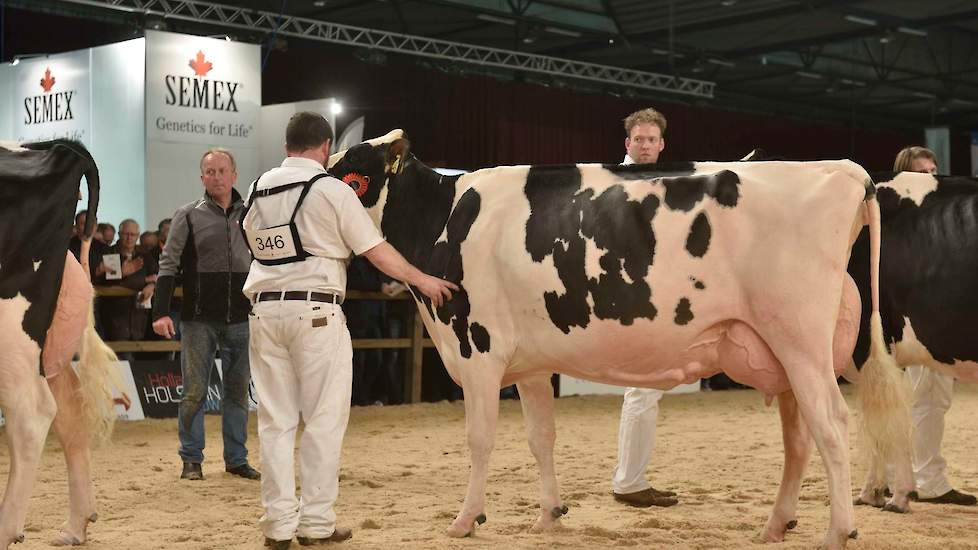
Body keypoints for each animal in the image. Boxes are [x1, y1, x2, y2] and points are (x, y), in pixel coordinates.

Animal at [326, 132, 900, 548]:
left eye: (351, 174)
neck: (446, 216)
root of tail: (840, 168)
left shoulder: (477, 350)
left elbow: (480, 439)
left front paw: (466, 519)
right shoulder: (530, 364)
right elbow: (541, 437)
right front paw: (549, 515)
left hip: (801, 343)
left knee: (833, 424)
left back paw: (837, 531)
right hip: (780, 356)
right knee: (799, 440)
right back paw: (776, 525)